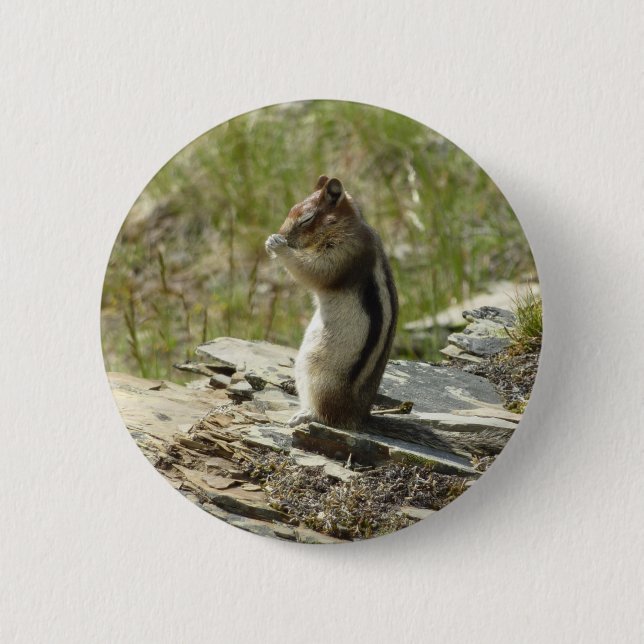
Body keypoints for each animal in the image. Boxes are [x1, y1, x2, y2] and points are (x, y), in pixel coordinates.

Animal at [265, 175, 398, 430]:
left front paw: (278, 245)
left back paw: (304, 415)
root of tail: (358, 416)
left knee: (326, 414)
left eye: (306, 219)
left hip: (316, 371)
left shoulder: (343, 251)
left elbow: (315, 270)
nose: (281, 233)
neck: (345, 224)